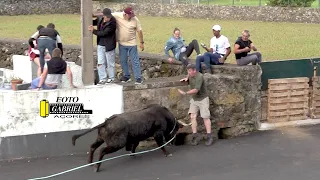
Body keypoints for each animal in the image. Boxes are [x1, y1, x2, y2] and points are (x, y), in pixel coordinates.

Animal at [26, 135, 178, 180]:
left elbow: (134, 146)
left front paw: (133, 153)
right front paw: (166, 152)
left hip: (101, 138)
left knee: (94, 146)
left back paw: (91, 162)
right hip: (114, 144)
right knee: (102, 150)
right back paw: (97, 166)